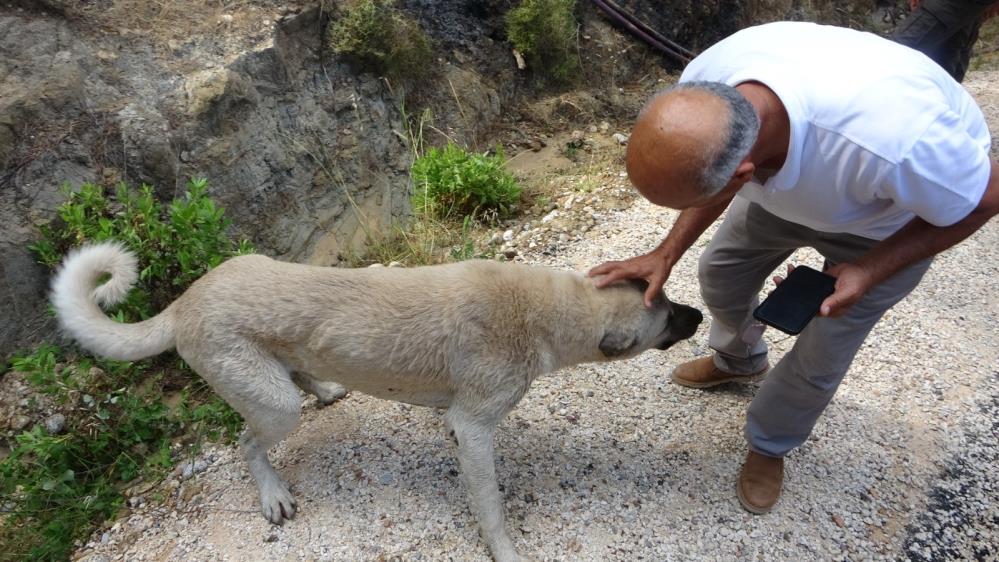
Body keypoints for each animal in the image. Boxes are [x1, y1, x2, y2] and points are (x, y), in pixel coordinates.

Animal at [48, 242, 704, 560]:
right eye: (670, 315)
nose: (699, 315)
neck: (541, 309)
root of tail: (185, 301)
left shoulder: (462, 424)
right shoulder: (476, 426)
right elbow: (490, 506)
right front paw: (505, 550)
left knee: (299, 379)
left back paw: (327, 388)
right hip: (271, 405)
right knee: (247, 441)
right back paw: (272, 492)